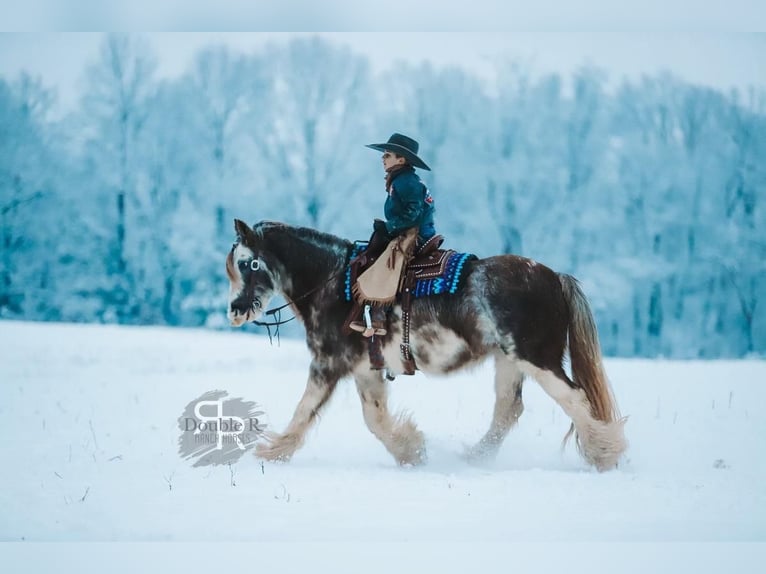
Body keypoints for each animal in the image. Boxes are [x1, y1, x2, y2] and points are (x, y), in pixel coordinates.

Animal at [226, 220, 632, 472]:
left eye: (249, 263)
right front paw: (411, 450)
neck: (335, 284)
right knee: (508, 410)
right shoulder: (366, 370)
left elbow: (304, 411)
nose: (235, 310)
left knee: (575, 400)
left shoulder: (328, 364)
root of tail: (554, 278)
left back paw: (604, 453)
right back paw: (475, 457)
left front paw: (271, 452)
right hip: (509, 362)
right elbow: (374, 418)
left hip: (538, 359)